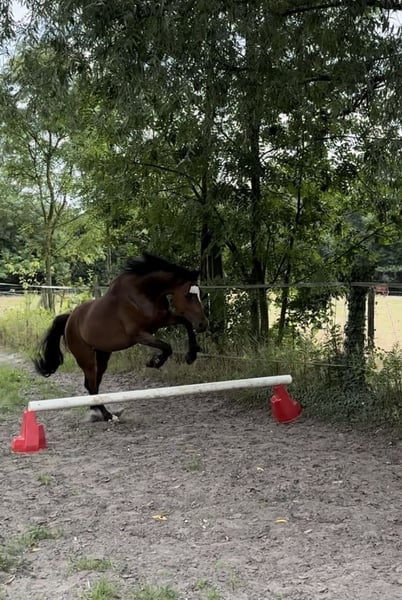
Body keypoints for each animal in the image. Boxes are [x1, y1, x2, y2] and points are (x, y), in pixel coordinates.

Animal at [34, 253, 209, 421]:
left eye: (201, 294)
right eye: (187, 295)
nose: (202, 324)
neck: (143, 294)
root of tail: (70, 319)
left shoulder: (163, 320)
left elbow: (186, 323)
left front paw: (191, 355)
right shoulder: (139, 334)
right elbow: (167, 347)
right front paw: (154, 362)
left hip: (103, 355)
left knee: (93, 384)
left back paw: (96, 410)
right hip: (87, 359)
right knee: (92, 385)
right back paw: (107, 415)